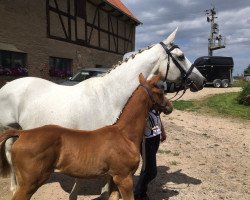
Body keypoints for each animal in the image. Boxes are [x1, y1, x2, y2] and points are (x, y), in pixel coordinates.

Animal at [0, 74, 172, 200]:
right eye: (160, 92)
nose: (170, 106)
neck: (124, 135)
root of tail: (22, 133)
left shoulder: (114, 178)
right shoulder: (124, 178)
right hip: (30, 183)